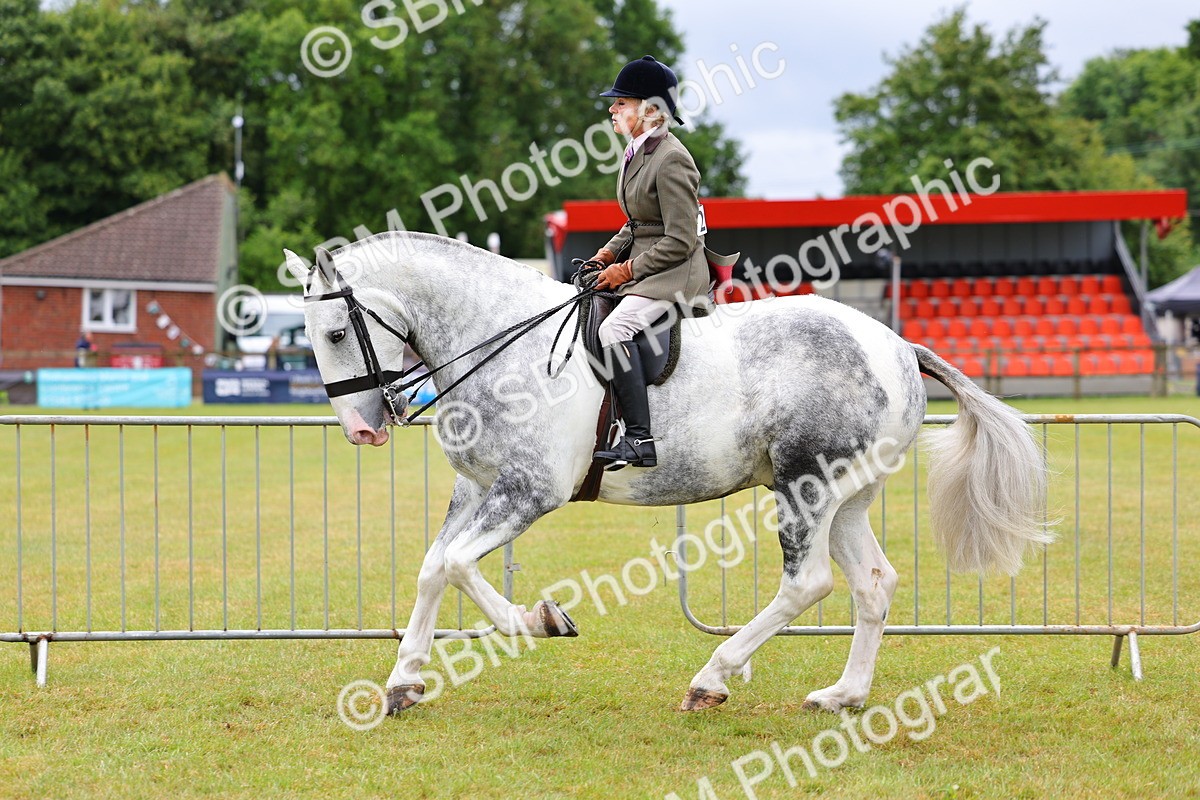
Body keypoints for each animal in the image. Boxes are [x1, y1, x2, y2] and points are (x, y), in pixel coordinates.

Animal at [285, 231, 1049, 714]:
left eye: (334, 333)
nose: (361, 430)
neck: (503, 343)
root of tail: (896, 344)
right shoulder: (476, 487)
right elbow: (434, 567)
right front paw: (408, 680)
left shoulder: (529, 491)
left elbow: (452, 566)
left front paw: (533, 623)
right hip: (846, 498)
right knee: (873, 583)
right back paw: (843, 695)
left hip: (805, 489)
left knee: (808, 584)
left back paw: (713, 679)